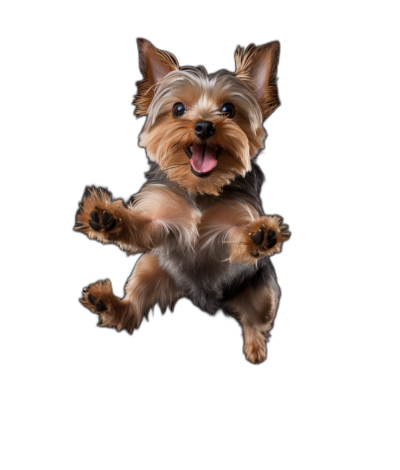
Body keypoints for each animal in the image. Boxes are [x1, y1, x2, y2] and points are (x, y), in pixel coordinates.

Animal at [75, 39, 290, 364]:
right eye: (178, 109)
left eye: (228, 109)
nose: (204, 126)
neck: (200, 189)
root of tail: (201, 297)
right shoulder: (158, 222)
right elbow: (142, 229)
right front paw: (107, 219)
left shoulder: (235, 224)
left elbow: (238, 238)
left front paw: (260, 235)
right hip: (152, 266)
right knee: (134, 305)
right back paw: (108, 304)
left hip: (262, 287)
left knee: (257, 319)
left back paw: (255, 348)